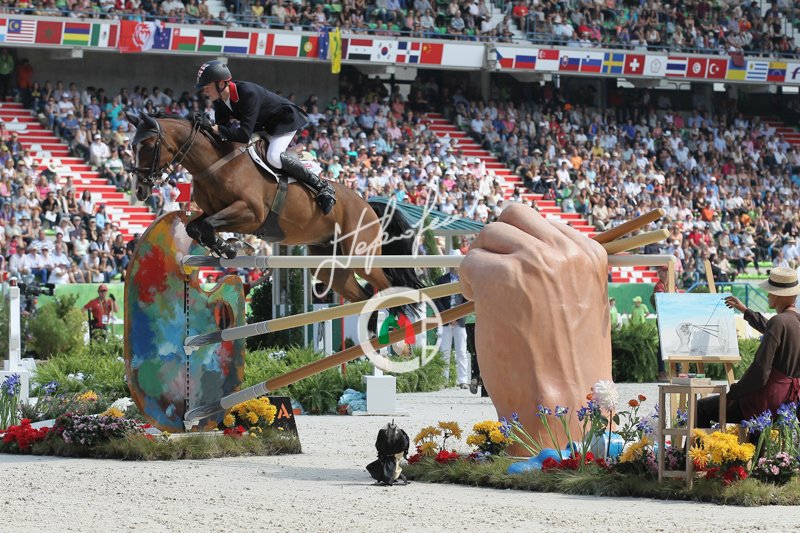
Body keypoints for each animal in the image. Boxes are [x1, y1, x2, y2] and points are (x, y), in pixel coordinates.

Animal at [127, 113, 425, 307]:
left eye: (149, 145)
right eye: (131, 146)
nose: (140, 189)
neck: (214, 164)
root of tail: (368, 205)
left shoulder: (251, 215)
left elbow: (206, 225)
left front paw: (228, 247)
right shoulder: (215, 211)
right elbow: (195, 226)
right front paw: (226, 247)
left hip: (361, 257)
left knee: (388, 286)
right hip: (331, 266)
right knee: (364, 296)